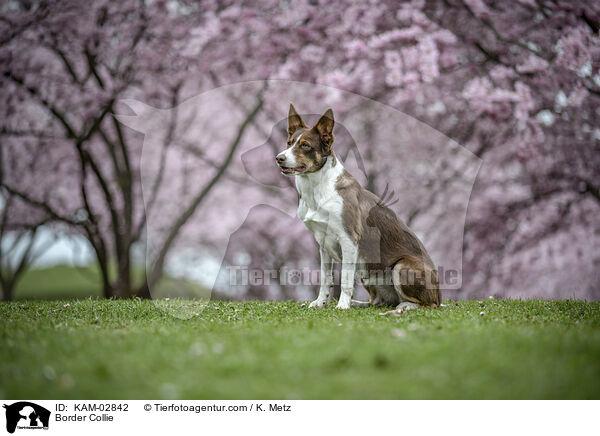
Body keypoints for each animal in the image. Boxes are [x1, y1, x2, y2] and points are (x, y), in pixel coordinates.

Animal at [274, 105, 438, 316]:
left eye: (305, 145)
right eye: (289, 143)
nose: (279, 158)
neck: (318, 188)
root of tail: (440, 294)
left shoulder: (349, 239)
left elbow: (345, 278)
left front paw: (342, 305)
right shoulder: (322, 242)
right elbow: (325, 278)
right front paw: (320, 303)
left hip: (401, 267)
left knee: (427, 304)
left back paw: (403, 307)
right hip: (368, 274)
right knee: (378, 302)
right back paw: (359, 303)